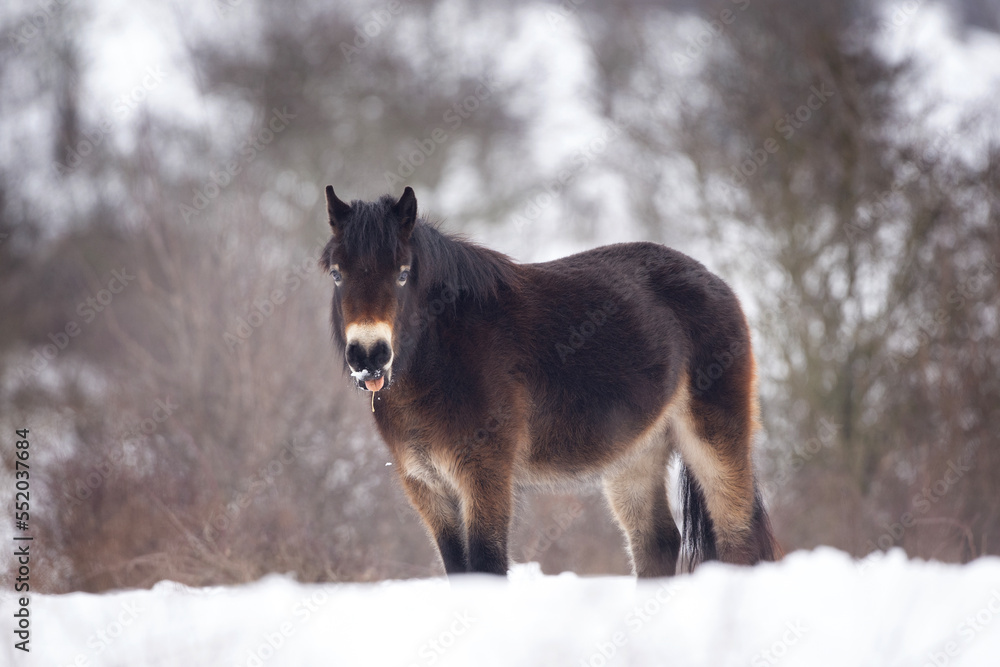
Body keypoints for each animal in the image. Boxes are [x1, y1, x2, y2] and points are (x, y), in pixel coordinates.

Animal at [320, 185, 777, 577]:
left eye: (402, 273)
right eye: (338, 274)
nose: (369, 356)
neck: (445, 356)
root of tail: (715, 283)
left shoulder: (484, 476)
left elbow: (486, 564)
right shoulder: (426, 487)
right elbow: (458, 568)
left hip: (713, 439)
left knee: (738, 537)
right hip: (636, 455)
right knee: (657, 544)